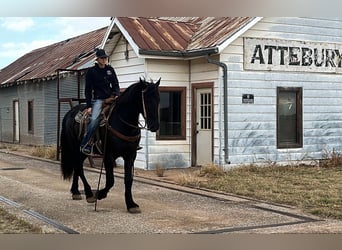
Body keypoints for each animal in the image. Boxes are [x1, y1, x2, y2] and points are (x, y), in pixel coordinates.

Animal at [60, 78, 160, 213]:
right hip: (75, 147)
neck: (123, 123)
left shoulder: (130, 155)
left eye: (158, 99)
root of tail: (69, 113)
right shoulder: (108, 155)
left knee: (78, 166)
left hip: (82, 151)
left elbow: (128, 180)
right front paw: (100, 194)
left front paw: (131, 204)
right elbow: (110, 180)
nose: (155, 126)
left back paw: (76, 192)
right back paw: (89, 194)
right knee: (79, 167)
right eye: (147, 100)